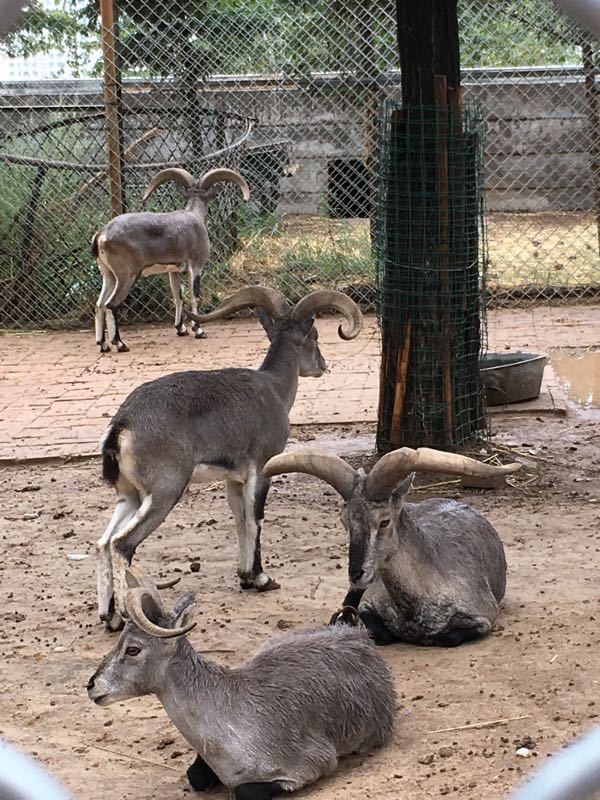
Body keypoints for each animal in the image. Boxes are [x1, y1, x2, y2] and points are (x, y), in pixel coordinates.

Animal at [86, 568, 396, 800]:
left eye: (133, 649)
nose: (92, 686)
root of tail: (357, 635)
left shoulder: (313, 762)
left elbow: (245, 791)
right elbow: (195, 776)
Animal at [91, 166, 248, 354]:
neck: (194, 216)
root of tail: (101, 235)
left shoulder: (174, 271)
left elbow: (178, 296)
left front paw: (181, 329)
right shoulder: (195, 266)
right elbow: (195, 296)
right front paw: (199, 331)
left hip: (108, 275)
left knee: (99, 305)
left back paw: (103, 344)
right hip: (126, 276)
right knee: (111, 305)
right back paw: (120, 344)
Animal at [97, 288, 360, 632]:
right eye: (314, 336)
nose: (322, 365)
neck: (273, 388)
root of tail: (122, 425)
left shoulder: (233, 480)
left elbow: (239, 520)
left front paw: (244, 576)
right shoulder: (261, 470)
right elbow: (255, 518)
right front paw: (261, 578)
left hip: (129, 496)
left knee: (103, 542)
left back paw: (110, 616)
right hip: (164, 493)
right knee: (121, 544)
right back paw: (127, 615)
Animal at [264, 446, 524, 648]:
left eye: (384, 521)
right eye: (344, 521)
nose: (356, 573)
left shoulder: (485, 615)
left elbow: (447, 637)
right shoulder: (368, 600)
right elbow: (380, 631)